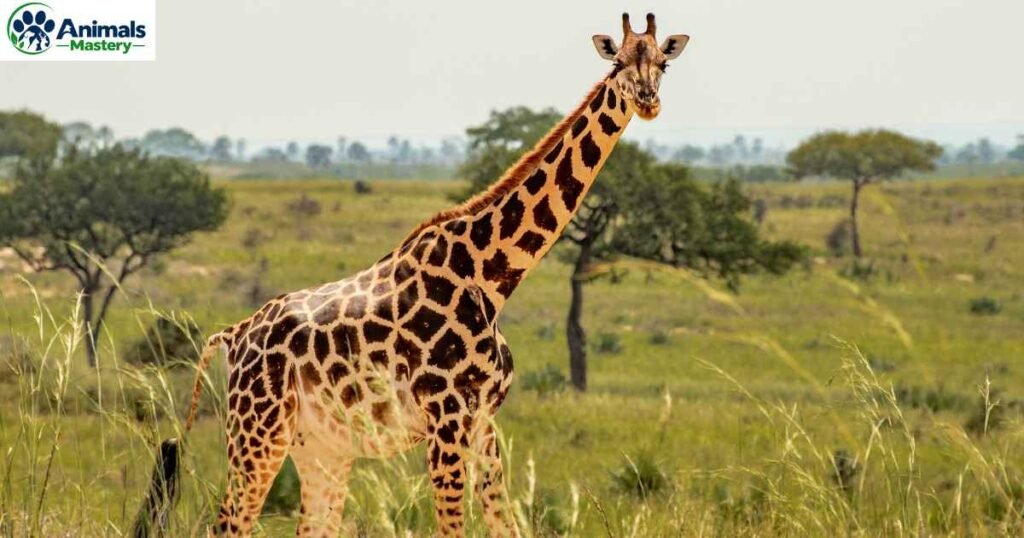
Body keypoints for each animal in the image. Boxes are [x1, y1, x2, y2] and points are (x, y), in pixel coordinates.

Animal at [180, 13, 688, 537]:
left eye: (664, 64)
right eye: (618, 62)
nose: (648, 101)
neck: (492, 275)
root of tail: (233, 334)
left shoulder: (483, 421)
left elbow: (505, 523)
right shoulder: (446, 417)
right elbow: (453, 526)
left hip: (320, 448)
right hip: (257, 431)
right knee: (228, 522)